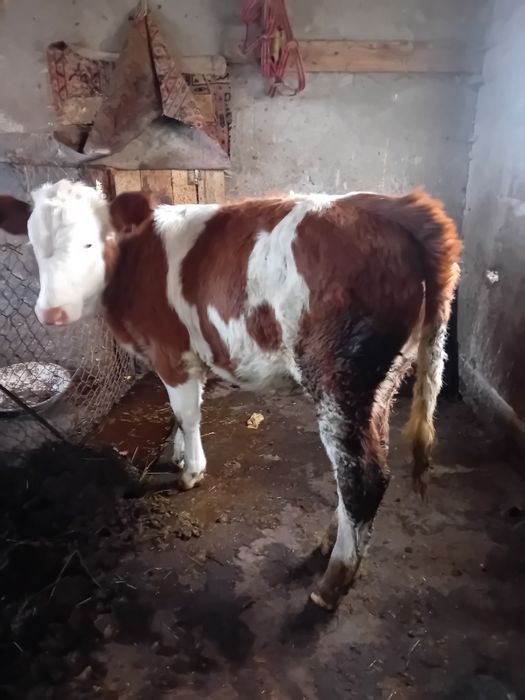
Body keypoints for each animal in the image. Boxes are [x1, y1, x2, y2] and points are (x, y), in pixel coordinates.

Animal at [0, 180, 462, 610]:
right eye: (35, 245)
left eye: (89, 242)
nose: (51, 313)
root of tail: (397, 205)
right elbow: (183, 413)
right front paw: (180, 455)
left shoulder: (171, 353)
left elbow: (187, 414)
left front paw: (190, 472)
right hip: (381, 384)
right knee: (366, 463)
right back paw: (331, 539)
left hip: (340, 379)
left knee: (361, 477)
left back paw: (332, 581)